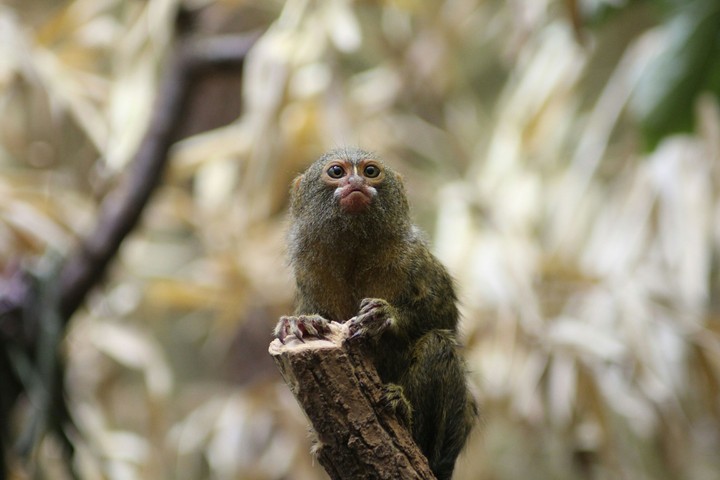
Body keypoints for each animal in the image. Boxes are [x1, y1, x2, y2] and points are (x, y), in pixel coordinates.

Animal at [274, 147, 477, 480]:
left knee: (438, 344)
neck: (354, 250)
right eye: (337, 172)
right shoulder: (308, 275)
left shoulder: (416, 259)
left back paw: (403, 412)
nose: (356, 182)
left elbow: (443, 316)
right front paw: (301, 322)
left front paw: (385, 317)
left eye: (370, 172)